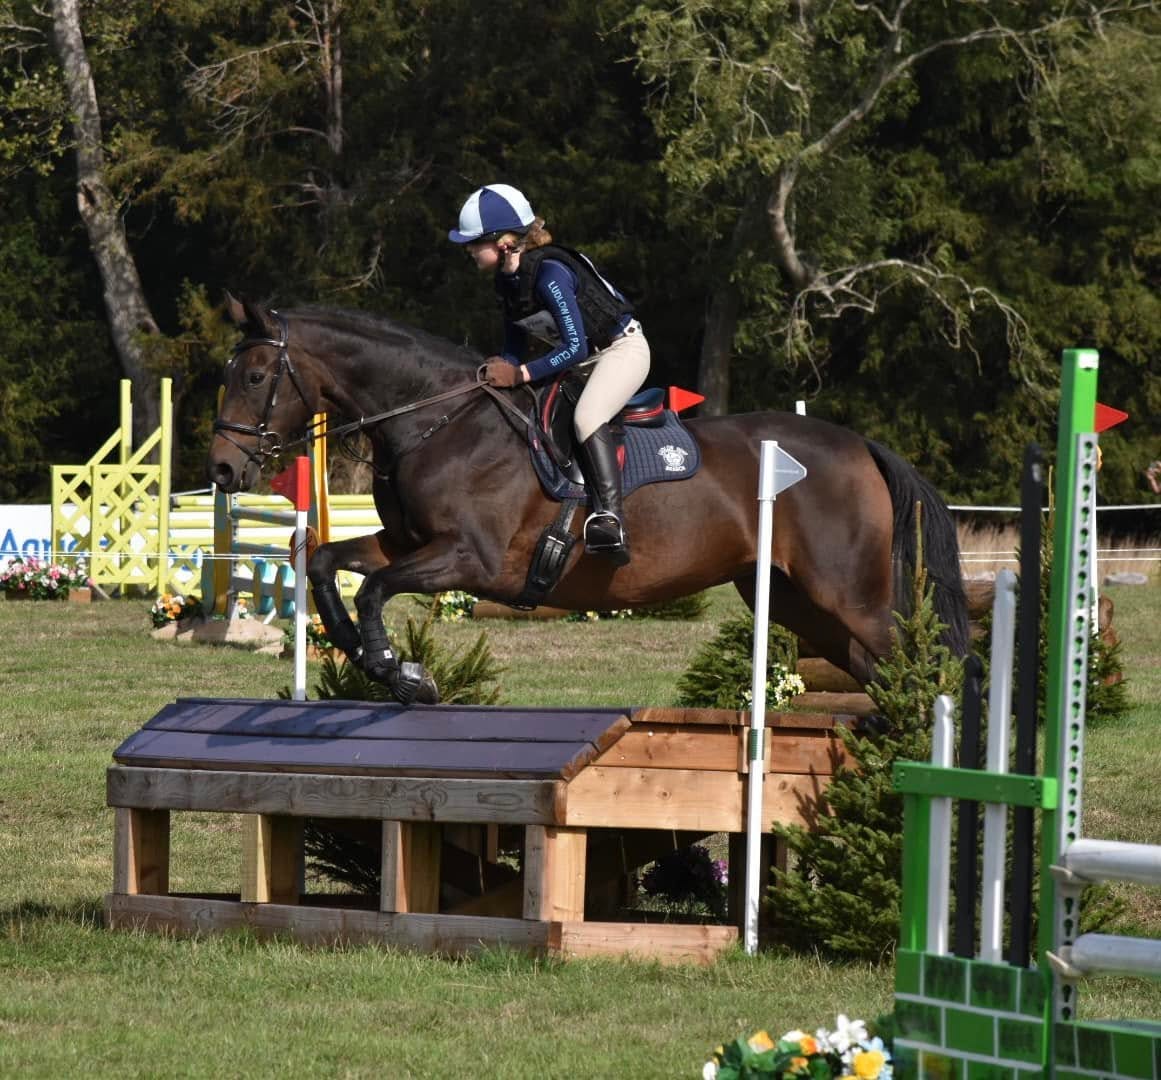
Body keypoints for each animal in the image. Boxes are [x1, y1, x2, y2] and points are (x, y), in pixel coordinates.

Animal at [207, 295, 969, 705]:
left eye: (254, 376)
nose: (220, 468)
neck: (438, 420)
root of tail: (860, 445)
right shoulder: (404, 544)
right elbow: (324, 564)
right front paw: (373, 661)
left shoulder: (470, 560)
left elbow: (372, 590)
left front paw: (405, 674)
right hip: (796, 603)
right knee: (879, 676)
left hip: (851, 597)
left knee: (915, 667)